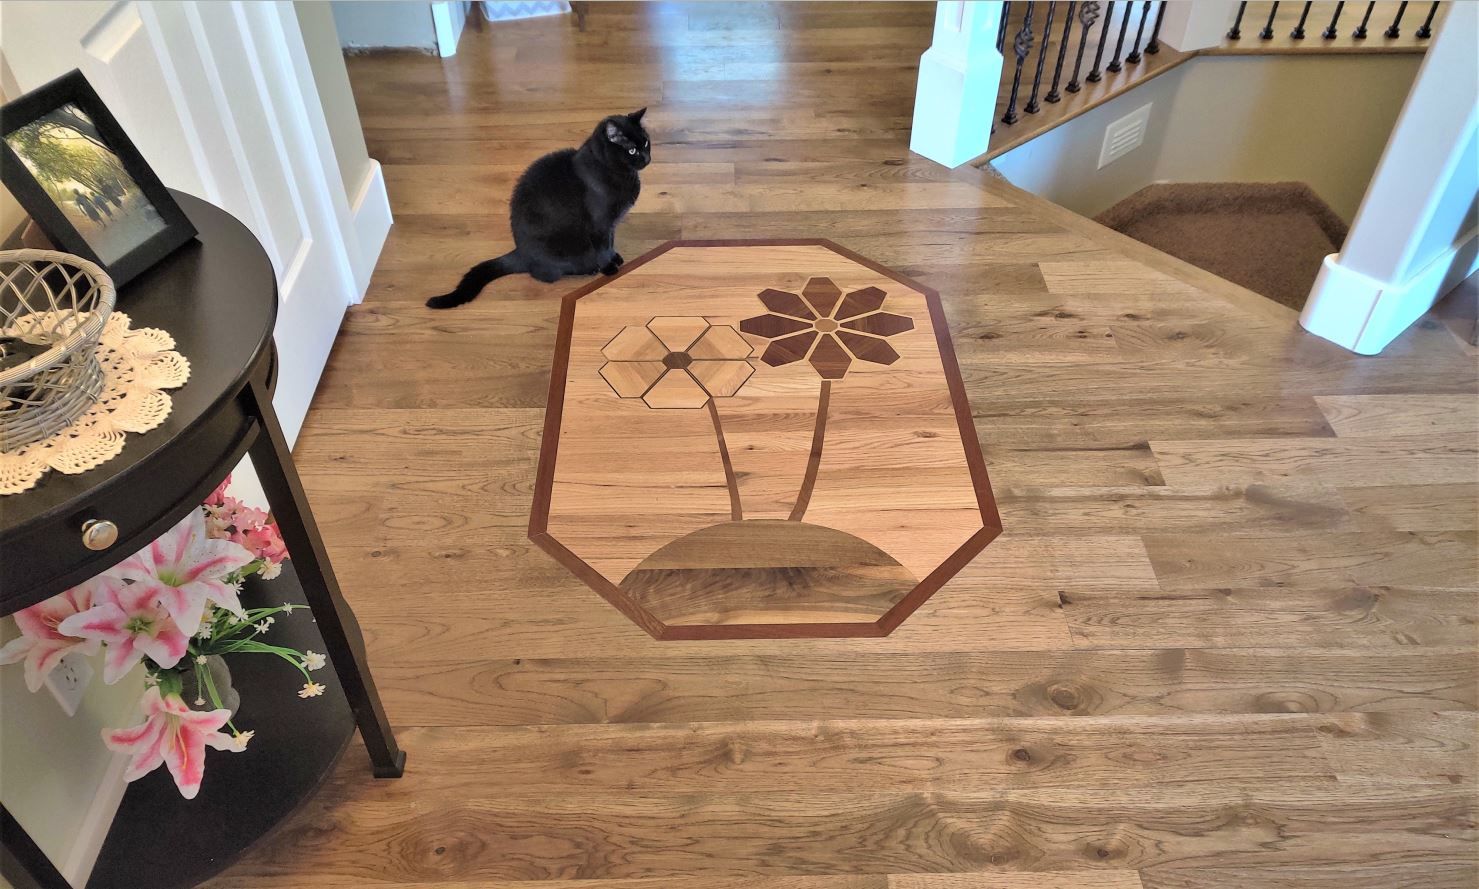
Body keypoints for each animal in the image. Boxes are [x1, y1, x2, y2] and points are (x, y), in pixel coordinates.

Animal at [425, 107, 650, 309]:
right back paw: (589, 269)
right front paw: (609, 267)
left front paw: (616, 257)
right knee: (544, 274)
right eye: (632, 150)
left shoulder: (611, 224)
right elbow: (603, 248)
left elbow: (611, 242)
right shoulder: (600, 224)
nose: (647, 158)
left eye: (646, 143)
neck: (619, 173)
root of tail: (519, 252)